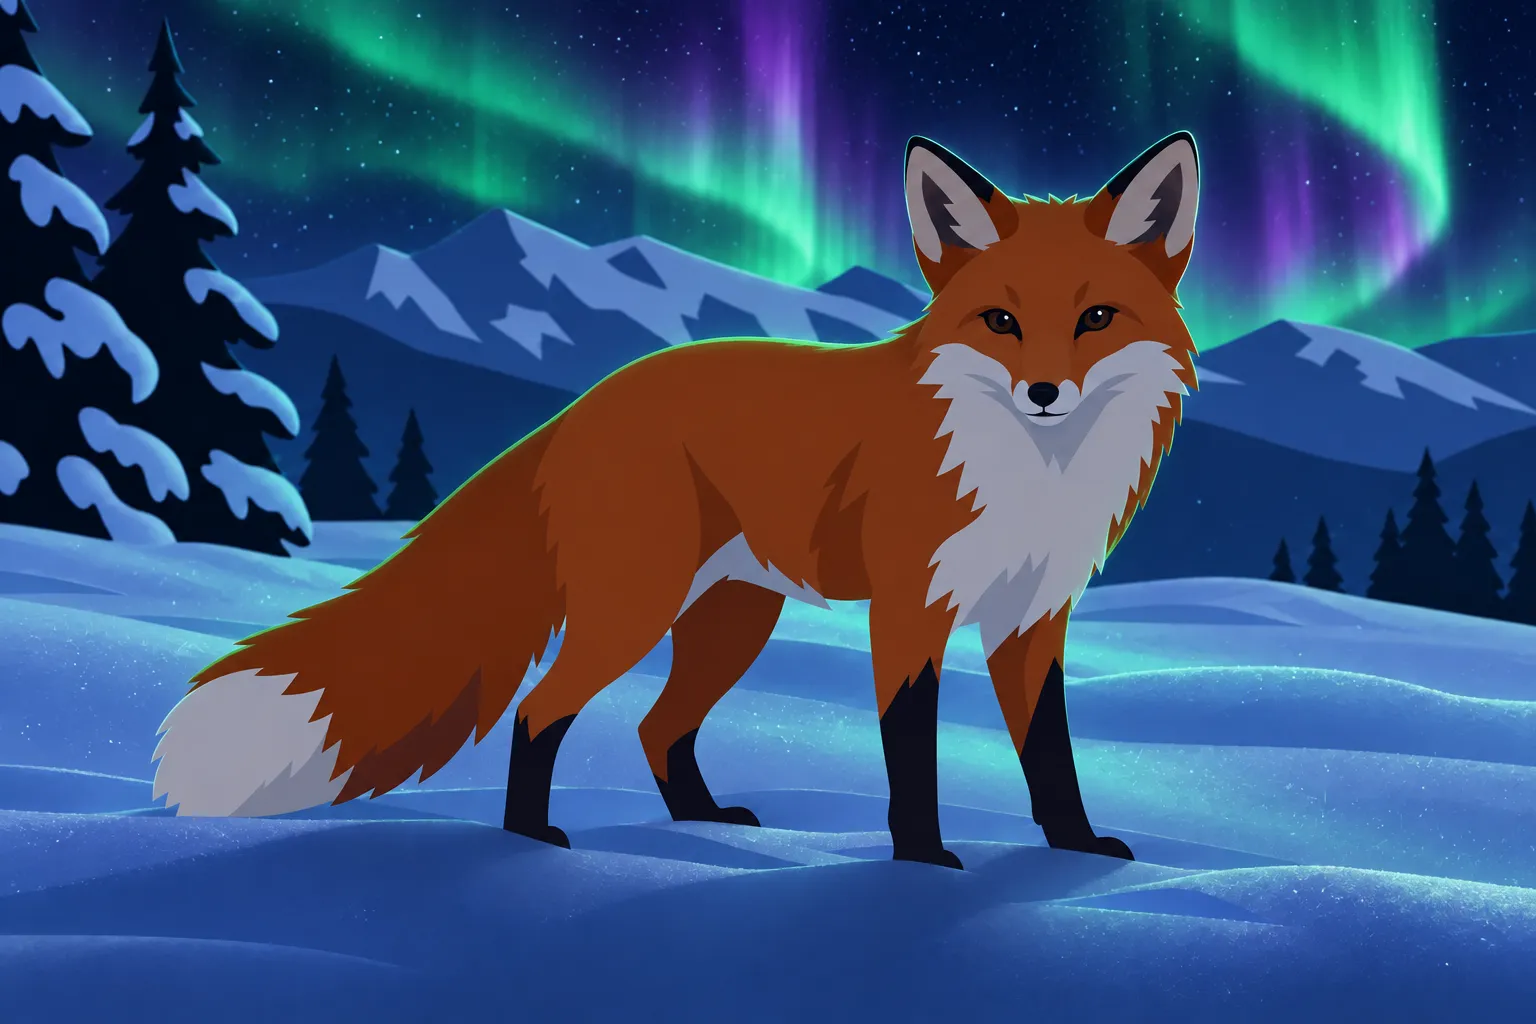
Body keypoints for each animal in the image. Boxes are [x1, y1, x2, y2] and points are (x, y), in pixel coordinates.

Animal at [151, 131, 1200, 869]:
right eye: (1000, 322)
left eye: (1096, 318)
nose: (1044, 393)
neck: (1032, 473)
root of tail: (584, 404)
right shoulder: (911, 609)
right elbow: (910, 754)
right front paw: (923, 860)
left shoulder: (1032, 619)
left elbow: (1051, 755)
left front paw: (1075, 851)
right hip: (638, 610)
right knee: (538, 713)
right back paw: (531, 841)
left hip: (730, 619)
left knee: (658, 727)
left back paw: (703, 823)